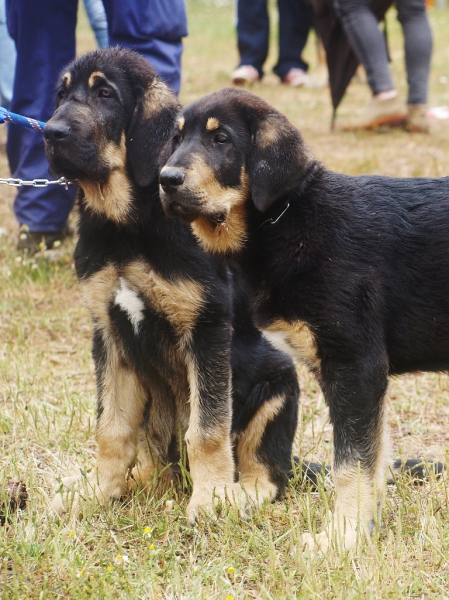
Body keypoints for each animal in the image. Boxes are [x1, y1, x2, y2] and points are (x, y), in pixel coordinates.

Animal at [43, 50, 300, 520]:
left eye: (105, 94)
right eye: (62, 95)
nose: (50, 133)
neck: (126, 227)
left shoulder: (206, 329)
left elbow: (207, 430)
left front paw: (211, 499)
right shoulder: (108, 333)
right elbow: (111, 429)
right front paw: (99, 490)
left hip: (279, 383)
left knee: (269, 473)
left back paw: (238, 495)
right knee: (152, 463)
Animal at [160, 86, 449, 552]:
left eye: (221, 140)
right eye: (178, 138)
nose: (166, 180)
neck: (289, 218)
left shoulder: (355, 365)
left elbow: (351, 464)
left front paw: (343, 538)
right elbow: (373, 458)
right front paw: (363, 529)